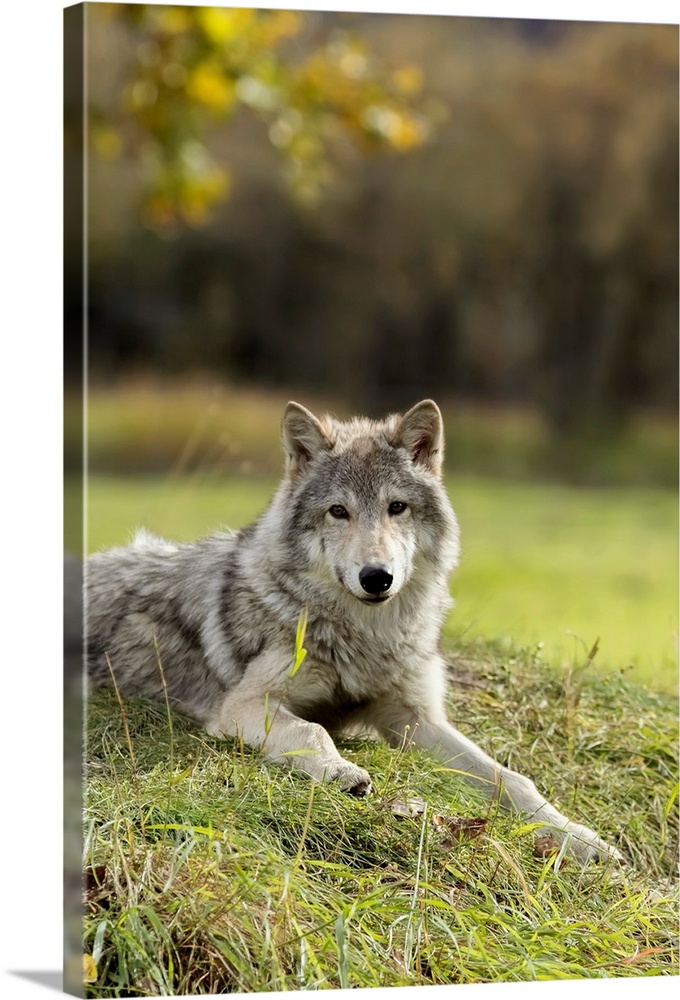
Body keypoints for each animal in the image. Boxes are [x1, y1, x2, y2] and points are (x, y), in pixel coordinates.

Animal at [85, 400, 620, 868]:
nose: (376, 577)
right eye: (338, 511)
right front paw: (342, 772)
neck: (367, 637)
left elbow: (512, 780)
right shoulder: (243, 705)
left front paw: (583, 840)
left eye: (396, 507)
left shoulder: (415, 718)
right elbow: (313, 730)